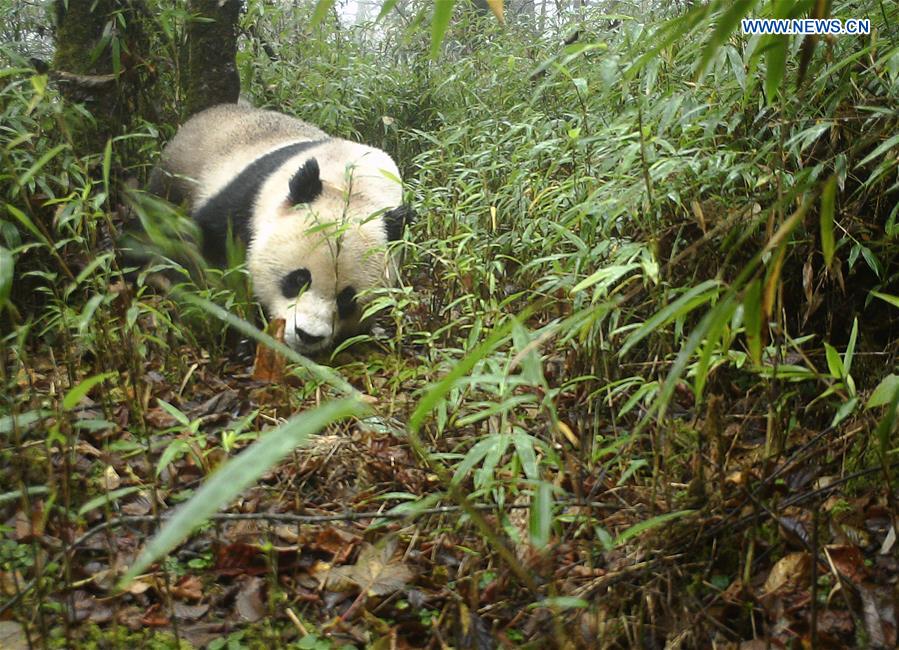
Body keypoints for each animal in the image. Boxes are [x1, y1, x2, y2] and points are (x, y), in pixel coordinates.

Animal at [148, 103, 414, 354]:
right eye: (299, 279)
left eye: (347, 299)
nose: (308, 335)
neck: (352, 187)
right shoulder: (244, 202)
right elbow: (200, 256)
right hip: (178, 174)